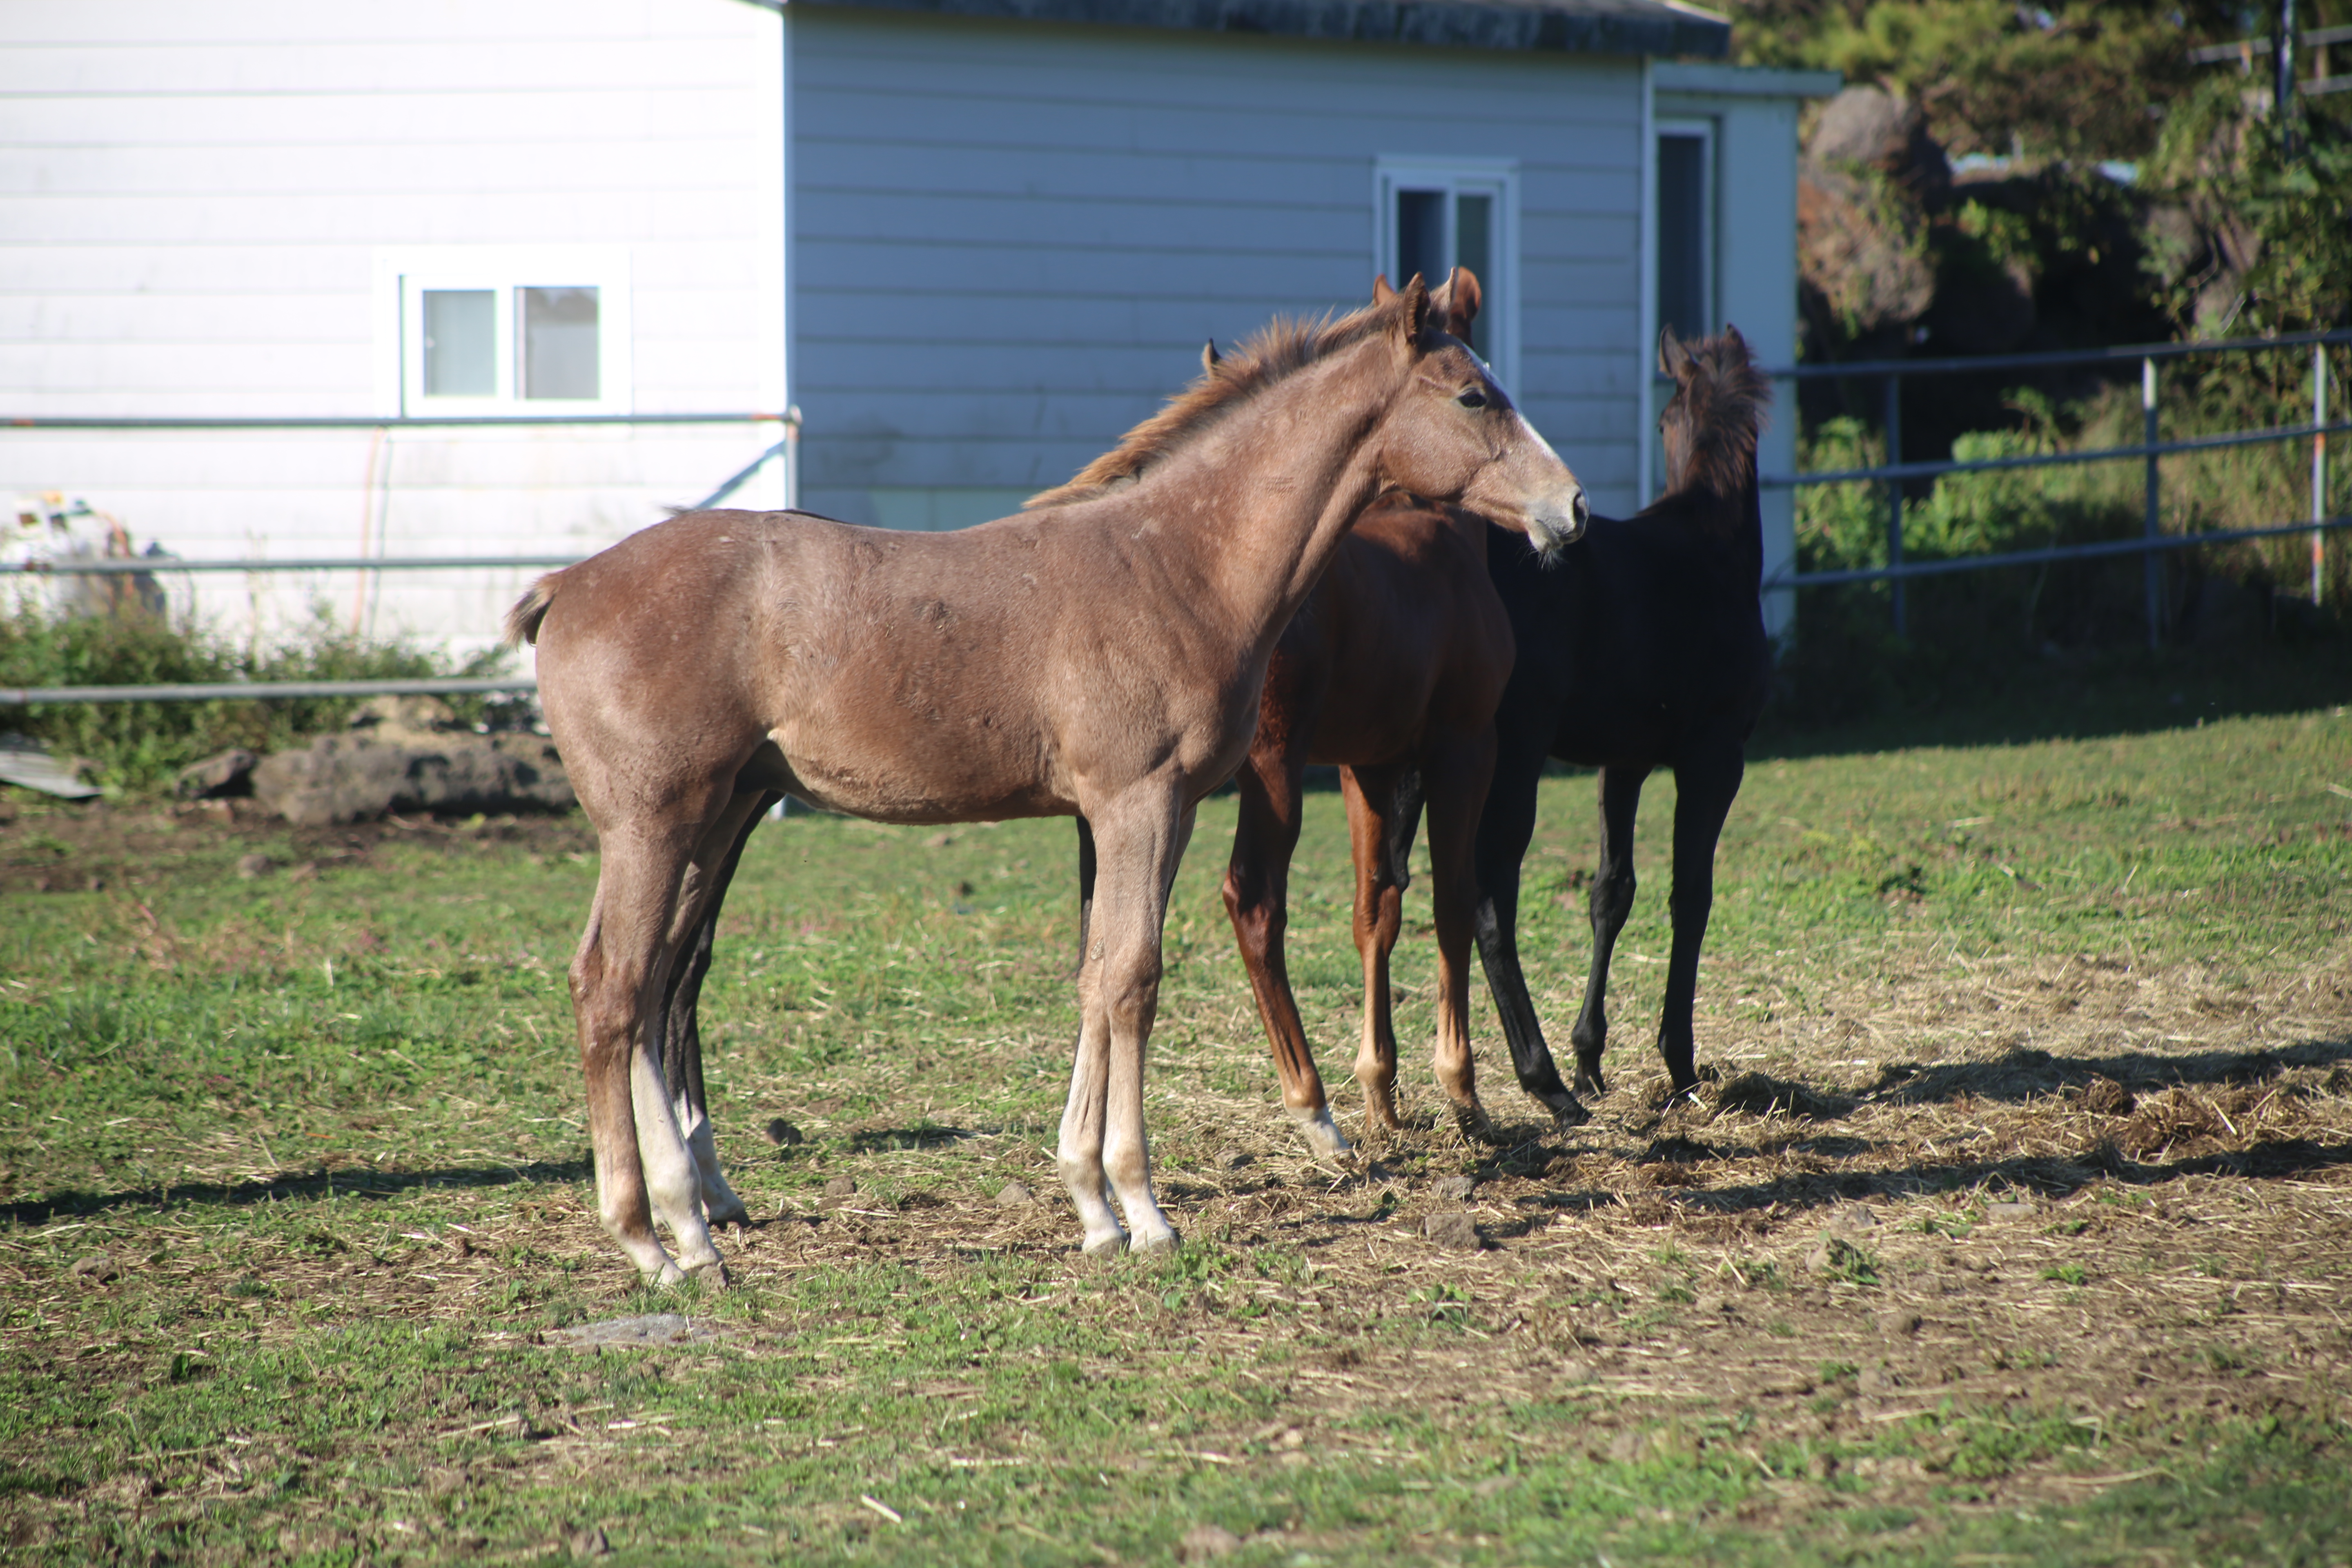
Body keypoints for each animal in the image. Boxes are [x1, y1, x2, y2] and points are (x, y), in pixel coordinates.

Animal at [506, 278, 1590, 1288]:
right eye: (1472, 396)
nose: (1572, 510)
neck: (1179, 562)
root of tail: (565, 585)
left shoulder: (1154, 812)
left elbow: (1096, 973)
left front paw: (1092, 1204)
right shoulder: (1135, 802)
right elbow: (1132, 978)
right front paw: (1142, 1211)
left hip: (713, 814)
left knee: (651, 987)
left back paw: (691, 1228)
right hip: (654, 824)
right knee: (612, 990)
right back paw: (647, 1239)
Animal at [1468, 329, 1768, 1114]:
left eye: (1662, 421)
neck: (1710, 548)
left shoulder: (1623, 762)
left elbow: (1612, 893)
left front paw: (1590, 1057)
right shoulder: (1715, 758)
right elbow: (1692, 895)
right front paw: (1680, 1061)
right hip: (1512, 761)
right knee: (1488, 904)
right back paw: (1538, 1080)